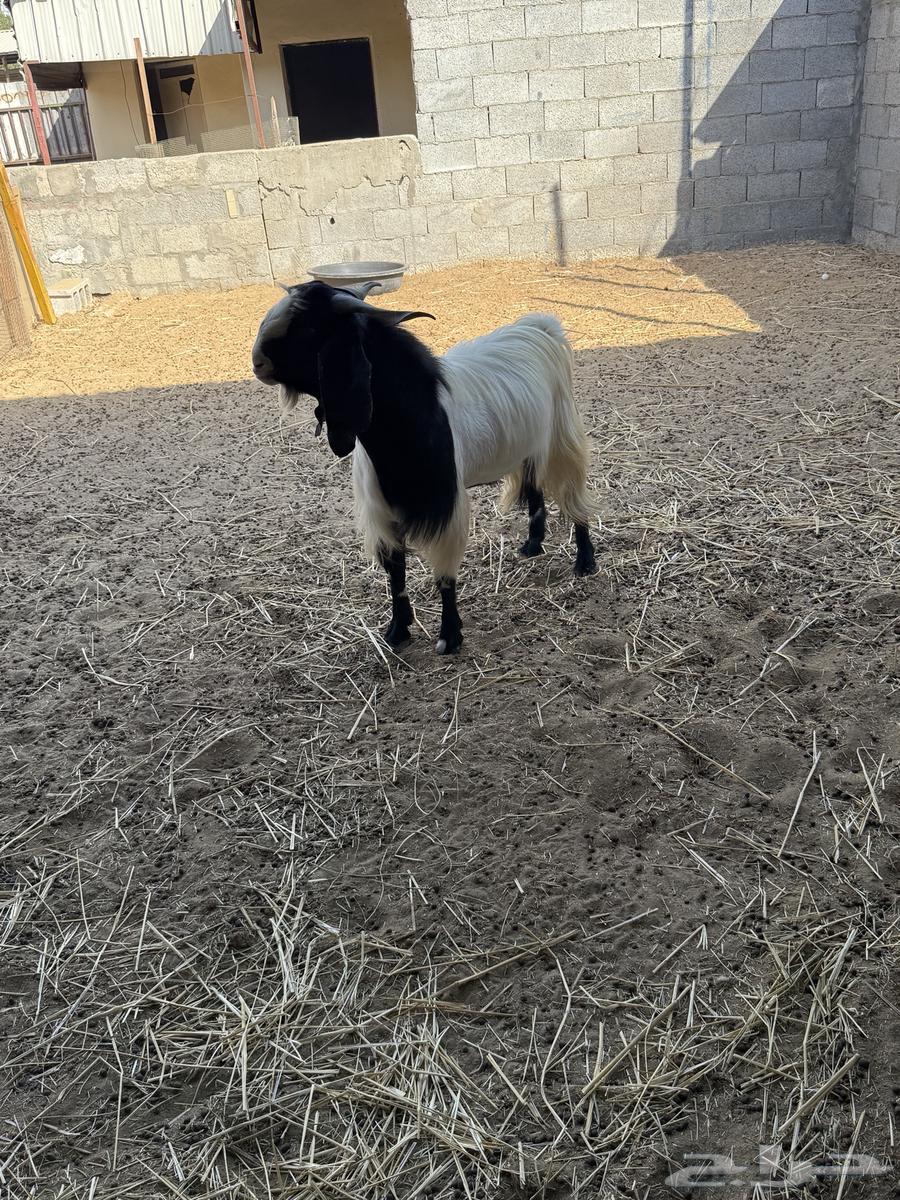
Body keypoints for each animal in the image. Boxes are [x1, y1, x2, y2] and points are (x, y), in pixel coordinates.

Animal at [252, 280, 596, 655]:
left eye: (309, 327)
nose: (257, 361)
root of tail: (539, 327)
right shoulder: (382, 512)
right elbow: (395, 574)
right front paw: (397, 631)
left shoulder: (445, 509)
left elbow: (444, 576)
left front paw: (449, 636)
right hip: (528, 446)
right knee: (534, 488)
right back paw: (532, 546)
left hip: (562, 437)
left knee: (573, 496)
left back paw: (586, 562)